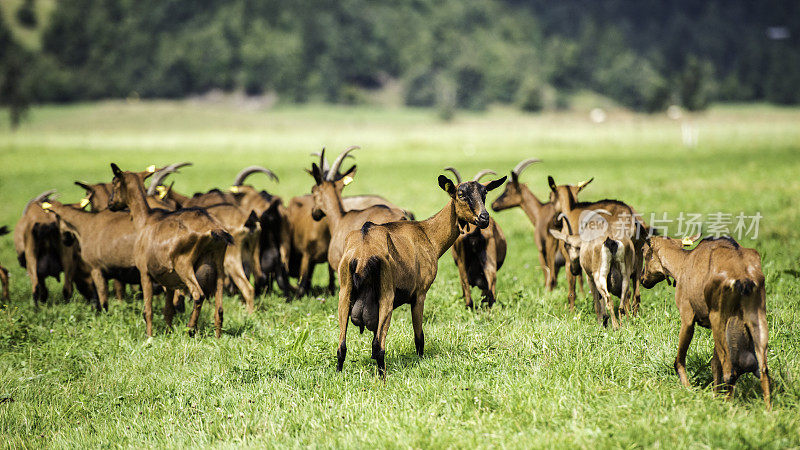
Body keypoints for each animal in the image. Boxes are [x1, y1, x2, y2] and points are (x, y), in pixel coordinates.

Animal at [106, 164, 233, 338]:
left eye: (114, 182)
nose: (110, 203)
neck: (145, 221)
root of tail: (213, 229)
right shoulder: (170, 282)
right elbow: (168, 310)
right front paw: (168, 333)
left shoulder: (144, 272)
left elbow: (148, 311)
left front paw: (149, 337)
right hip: (218, 266)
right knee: (219, 308)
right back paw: (217, 336)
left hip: (184, 264)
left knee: (198, 295)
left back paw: (190, 328)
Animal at [444, 167, 506, 308]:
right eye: (461, 194)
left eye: (485, 193)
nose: (483, 218)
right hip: (489, 260)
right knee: (491, 282)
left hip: (463, 261)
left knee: (466, 285)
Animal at [490, 158, 584, 302]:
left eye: (508, 189)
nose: (493, 205)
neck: (539, 212)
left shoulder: (541, 250)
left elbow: (548, 276)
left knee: (553, 277)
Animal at [636, 236, 768, 408]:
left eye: (644, 250)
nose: (642, 279)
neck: (683, 262)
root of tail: (743, 277)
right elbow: (714, 363)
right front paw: (714, 395)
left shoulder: (687, 317)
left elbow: (679, 359)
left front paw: (688, 389)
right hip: (756, 316)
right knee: (763, 369)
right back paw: (768, 409)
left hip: (719, 317)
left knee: (730, 370)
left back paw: (727, 406)